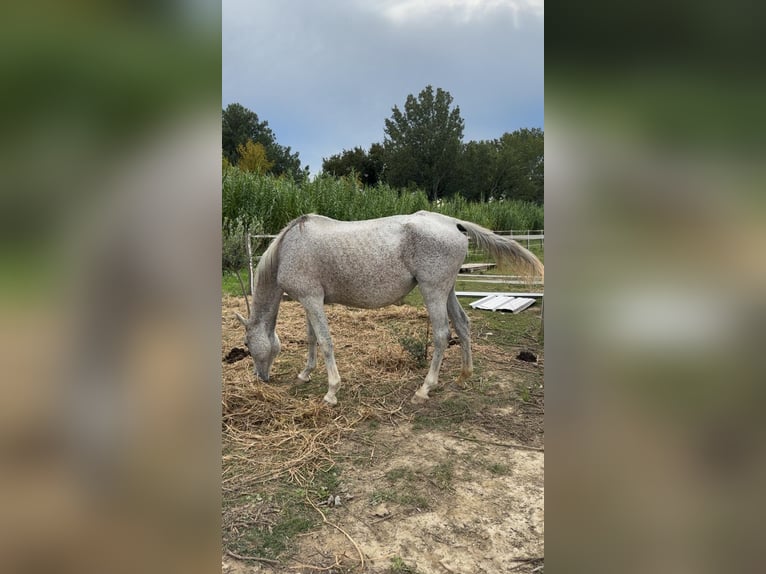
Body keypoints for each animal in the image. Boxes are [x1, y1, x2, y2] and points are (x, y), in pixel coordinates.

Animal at [234, 211, 544, 405]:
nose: (260, 378)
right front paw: (304, 374)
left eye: (247, 345)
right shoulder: (310, 301)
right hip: (448, 290)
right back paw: (463, 377)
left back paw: (424, 389)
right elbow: (312, 339)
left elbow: (325, 342)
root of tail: (453, 223)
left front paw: (332, 392)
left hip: (433, 291)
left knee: (442, 335)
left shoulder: (310, 299)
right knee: (463, 325)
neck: (289, 247)